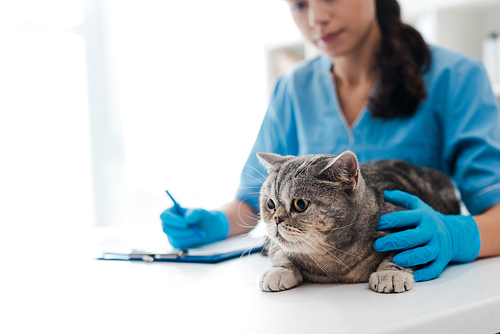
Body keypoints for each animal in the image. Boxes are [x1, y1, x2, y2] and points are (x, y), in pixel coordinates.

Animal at [258, 150, 460, 294]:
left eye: (300, 204)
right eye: (270, 204)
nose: (276, 219)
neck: (332, 260)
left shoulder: (414, 229)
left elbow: (400, 254)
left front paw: (390, 273)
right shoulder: (276, 244)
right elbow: (280, 252)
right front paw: (279, 270)